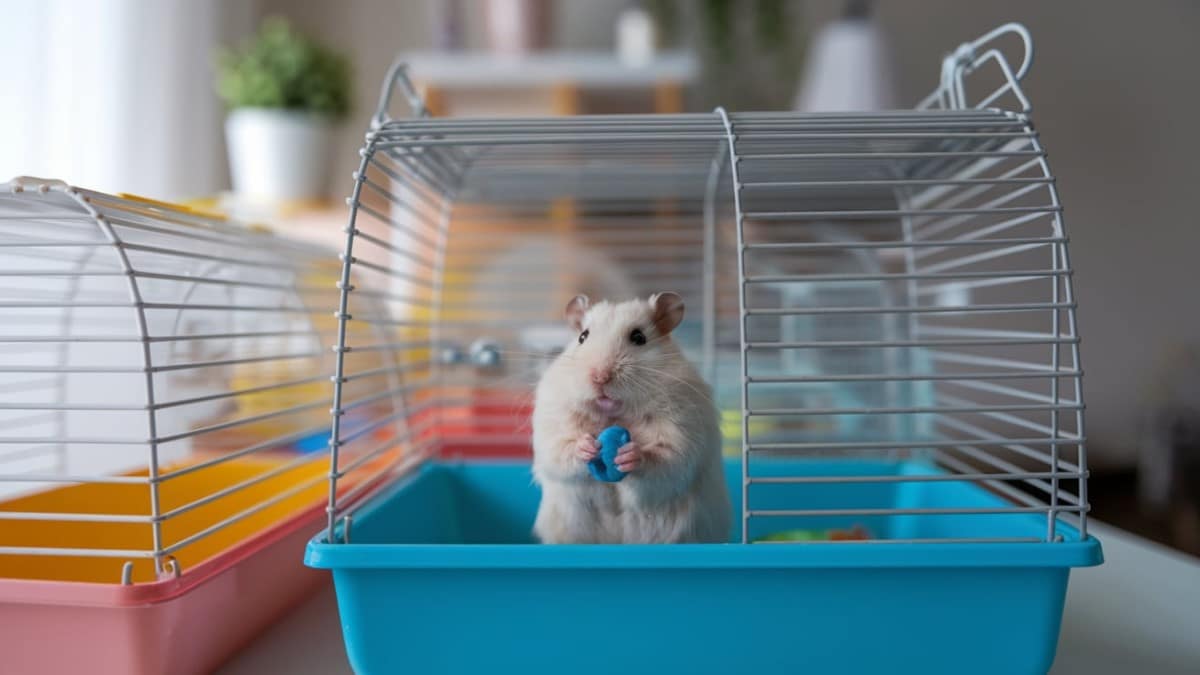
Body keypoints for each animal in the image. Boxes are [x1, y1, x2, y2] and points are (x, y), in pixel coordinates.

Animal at [532, 289, 729, 540]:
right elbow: (560, 450)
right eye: (583, 337)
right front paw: (586, 446)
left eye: (638, 337)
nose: (600, 376)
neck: (614, 414)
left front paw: (629, 454)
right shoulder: (554, 424)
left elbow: (664, 458)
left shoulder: (681, 430)